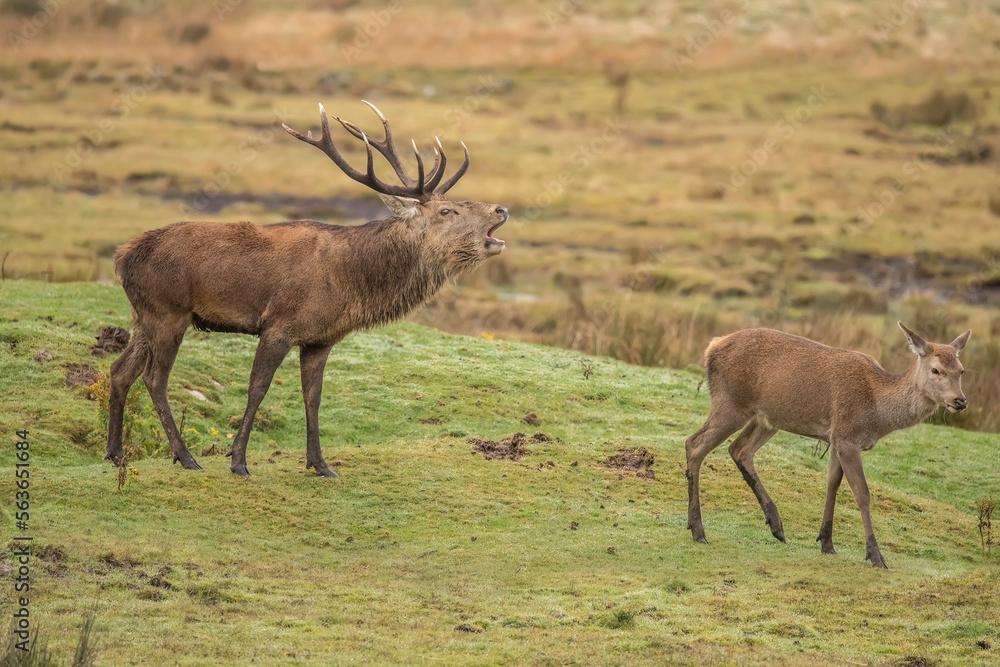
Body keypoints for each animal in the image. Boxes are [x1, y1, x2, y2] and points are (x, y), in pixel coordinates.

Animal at [107, 102, 508, 478]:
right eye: (447, 211)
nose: (501, 208)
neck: (350, 282)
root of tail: (122, 257)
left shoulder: (320, 339)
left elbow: (313, 397)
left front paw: (320, 464)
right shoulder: (278, 325)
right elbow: (258, 388)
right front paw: (238, 461)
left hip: (144, 315)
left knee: (119, 369)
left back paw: (114, 453)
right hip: (168, 312)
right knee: (154, 379)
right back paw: (186, 457)